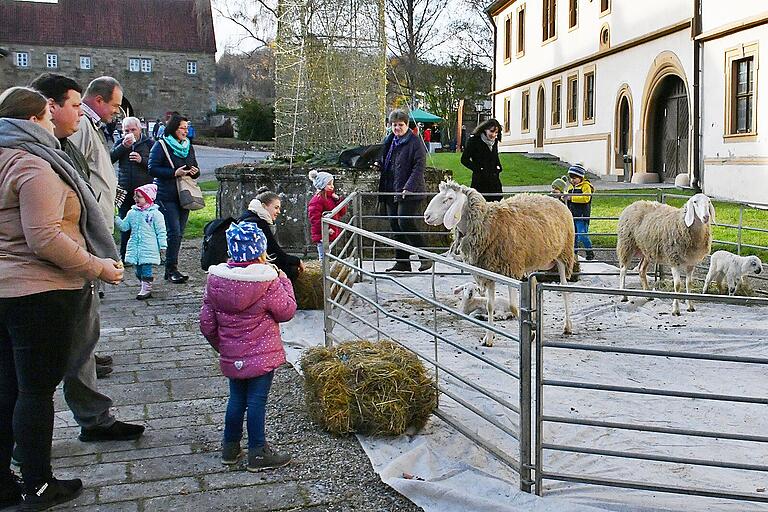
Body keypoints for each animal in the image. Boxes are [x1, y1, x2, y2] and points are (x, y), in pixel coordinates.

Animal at [426, 178, 576, 346]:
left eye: (450, 198)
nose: (427, 216)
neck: (487, 224)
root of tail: (556, 200)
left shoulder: (510, 268)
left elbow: (512, 306)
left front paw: (530, 333)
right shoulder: (488, 272)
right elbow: (490, 306)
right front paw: (489, 338)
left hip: (564, 255)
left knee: (564, 289)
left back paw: (567, 326)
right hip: (532, 260)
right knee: (533, 283)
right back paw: (535, 318)